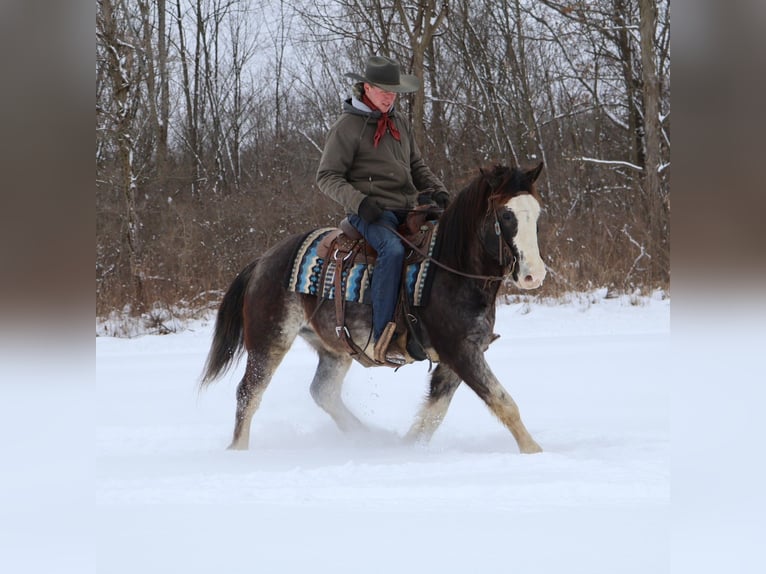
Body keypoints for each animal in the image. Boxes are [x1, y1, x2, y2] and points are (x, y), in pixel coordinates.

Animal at [200, 162, 547, 454]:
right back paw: (239, 452)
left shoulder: (461, 354)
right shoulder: (459, 350)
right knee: (249, 392)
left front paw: (406, 448)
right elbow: (503, 402)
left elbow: (434, 412)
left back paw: (365, 437)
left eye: (537, 212)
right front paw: (534, 451)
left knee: (323, 391)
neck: (450, 266)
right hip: (269, 340)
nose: (534, 274)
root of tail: (262, 261)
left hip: (334, 348)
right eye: (506, 215)